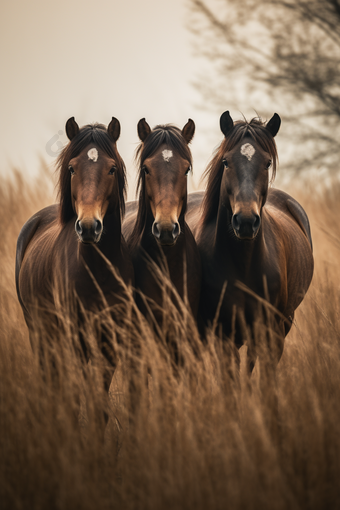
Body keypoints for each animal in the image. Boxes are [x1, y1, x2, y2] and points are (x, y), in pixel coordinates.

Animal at [15, 116, 134, 422]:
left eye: (112, 168)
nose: (89, 227)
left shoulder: (110, 339)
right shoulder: (76, 338)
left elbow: (98, 405)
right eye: (71, 168)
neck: (96, 268)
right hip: (39, 332)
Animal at [186, 111, 314, 372]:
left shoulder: (273, 335)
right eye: (226, 162)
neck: (243, 265)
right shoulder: (224, 336)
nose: (245, 221)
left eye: (267, 163)